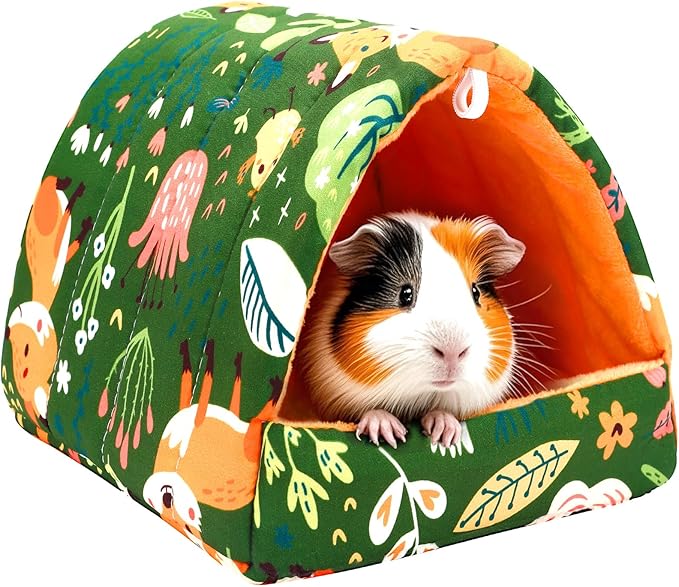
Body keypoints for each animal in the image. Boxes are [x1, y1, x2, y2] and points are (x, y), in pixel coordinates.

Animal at [301, 211, 526, 449]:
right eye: (405, 294)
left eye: (476, 292)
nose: (453, 352)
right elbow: (371, 411)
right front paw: (386, 432)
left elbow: (444, 411)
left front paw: (444, 432)